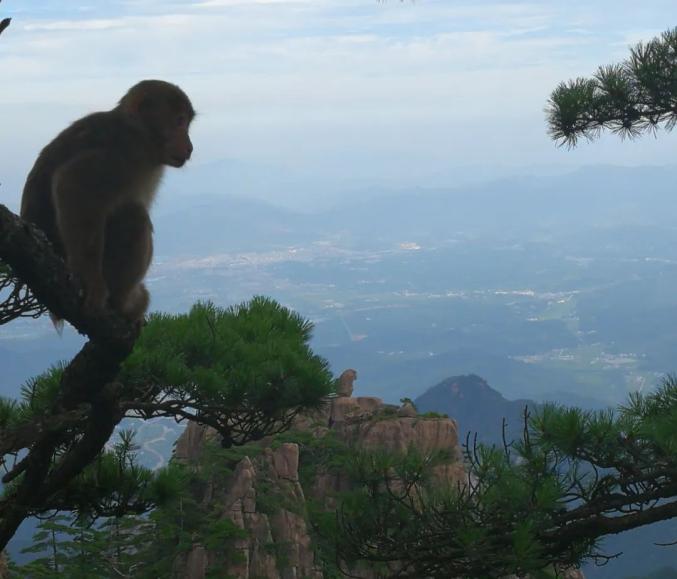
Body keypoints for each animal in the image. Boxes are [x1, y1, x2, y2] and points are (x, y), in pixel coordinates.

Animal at [19, 80, 194, 324]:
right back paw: (125, 303)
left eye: (186, 122)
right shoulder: (120, 154)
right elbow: (71, 184)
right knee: (134, 216)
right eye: (179, 121)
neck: (141, 136)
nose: (189, 146)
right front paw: (91, 282)